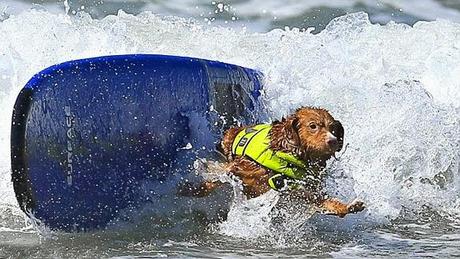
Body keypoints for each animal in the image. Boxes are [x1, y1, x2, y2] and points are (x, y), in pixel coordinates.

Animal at [181, 106, 364, 218]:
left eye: (333, 129)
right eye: (313, 126)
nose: (333, 141)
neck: (287, 156)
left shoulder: (298, 188)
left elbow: (321, 200)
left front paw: (346, 207)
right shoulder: (237, 168)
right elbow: (214, 178)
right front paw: (191, 189)